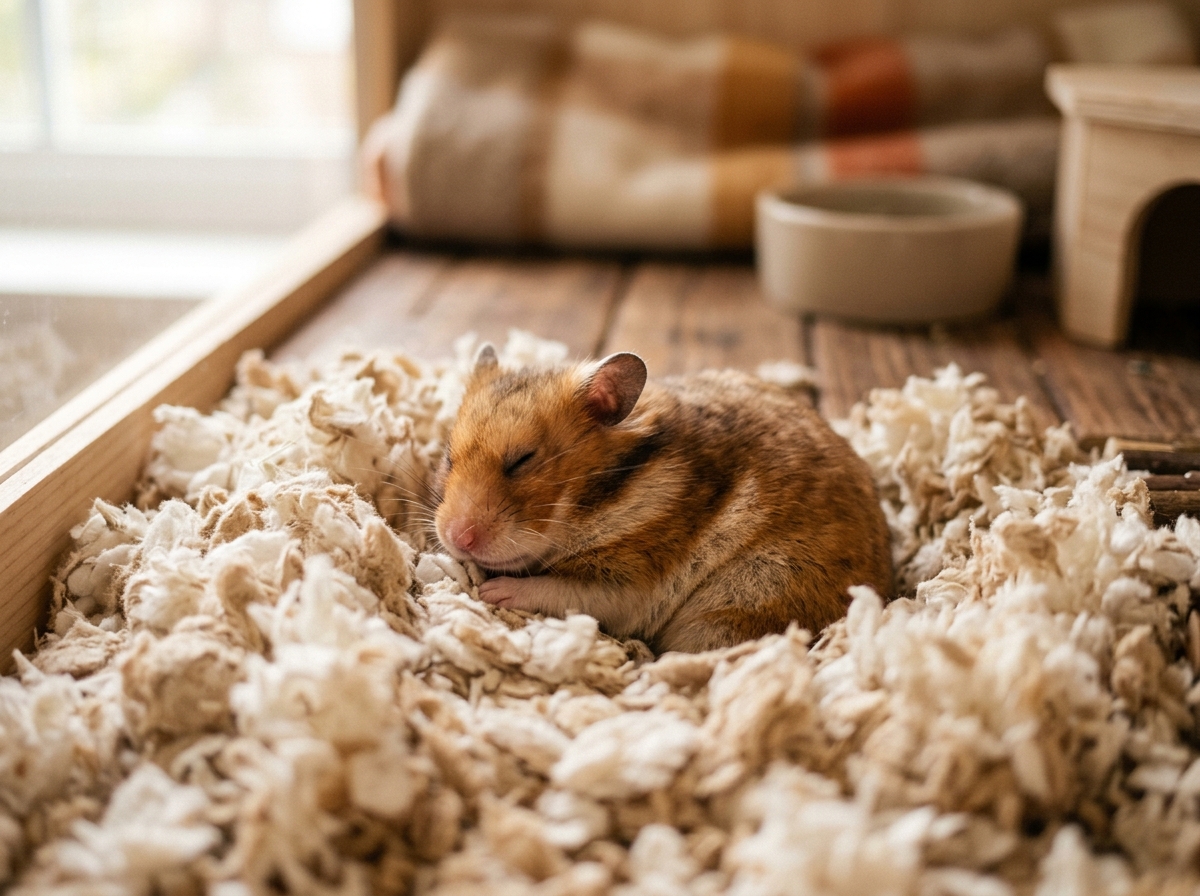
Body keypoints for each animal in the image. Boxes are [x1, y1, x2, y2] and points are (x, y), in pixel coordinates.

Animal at [433, 344, 893, 654]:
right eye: (449, 457)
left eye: (523, 460)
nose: (457, 539)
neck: (603, 498)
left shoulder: (630, 582)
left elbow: (560, 590)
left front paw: (492, 593)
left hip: (742, 600)